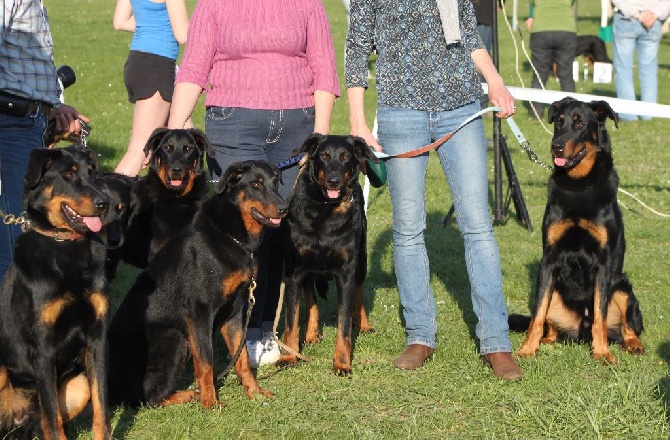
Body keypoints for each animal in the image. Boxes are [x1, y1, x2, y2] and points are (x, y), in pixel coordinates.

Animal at [0, 147, 111, 440]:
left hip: (78, 383)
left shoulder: (97, 338)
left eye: (92, 172)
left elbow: (101, 409)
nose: (104, 203)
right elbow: (53, 419)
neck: (65, 245)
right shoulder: (42, 348)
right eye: (68, 175)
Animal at [109, 162, 288, 410]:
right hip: (174, 338)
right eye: (256, 184)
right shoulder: (199, 312)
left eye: (275, 182)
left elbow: (241, 357)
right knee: (147, 398)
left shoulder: (235, 311)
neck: (231, 235)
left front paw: (254, 392)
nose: (284, 208)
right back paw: (188, 394)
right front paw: (211, 403)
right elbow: (206, 361)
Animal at [278, 133, 380, 374]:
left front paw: (342, 363)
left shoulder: (346, 273)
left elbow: (344, 326)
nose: (334, 180)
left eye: (345, 157)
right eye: (323, 156)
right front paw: (288, 356)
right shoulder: (294, 272)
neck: (326, 207)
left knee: (359, 291)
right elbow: (291, 322)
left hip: (361, 261)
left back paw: (364, 324)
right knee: (311, 296)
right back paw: (312, 333)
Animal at [516, 97, 644, 364]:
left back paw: (633, 344)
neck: (578, 184)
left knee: (627, 326)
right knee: (548, 323)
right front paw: (527, 349)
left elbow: (600, 316)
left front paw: (602, 352)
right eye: (559, 122)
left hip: (623, 287)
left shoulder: (604, 263)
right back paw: (546, 340)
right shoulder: (549, 260)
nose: (556, 147)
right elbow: (537, 315)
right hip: (556, 292)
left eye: (579, 124)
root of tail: (580, 329)